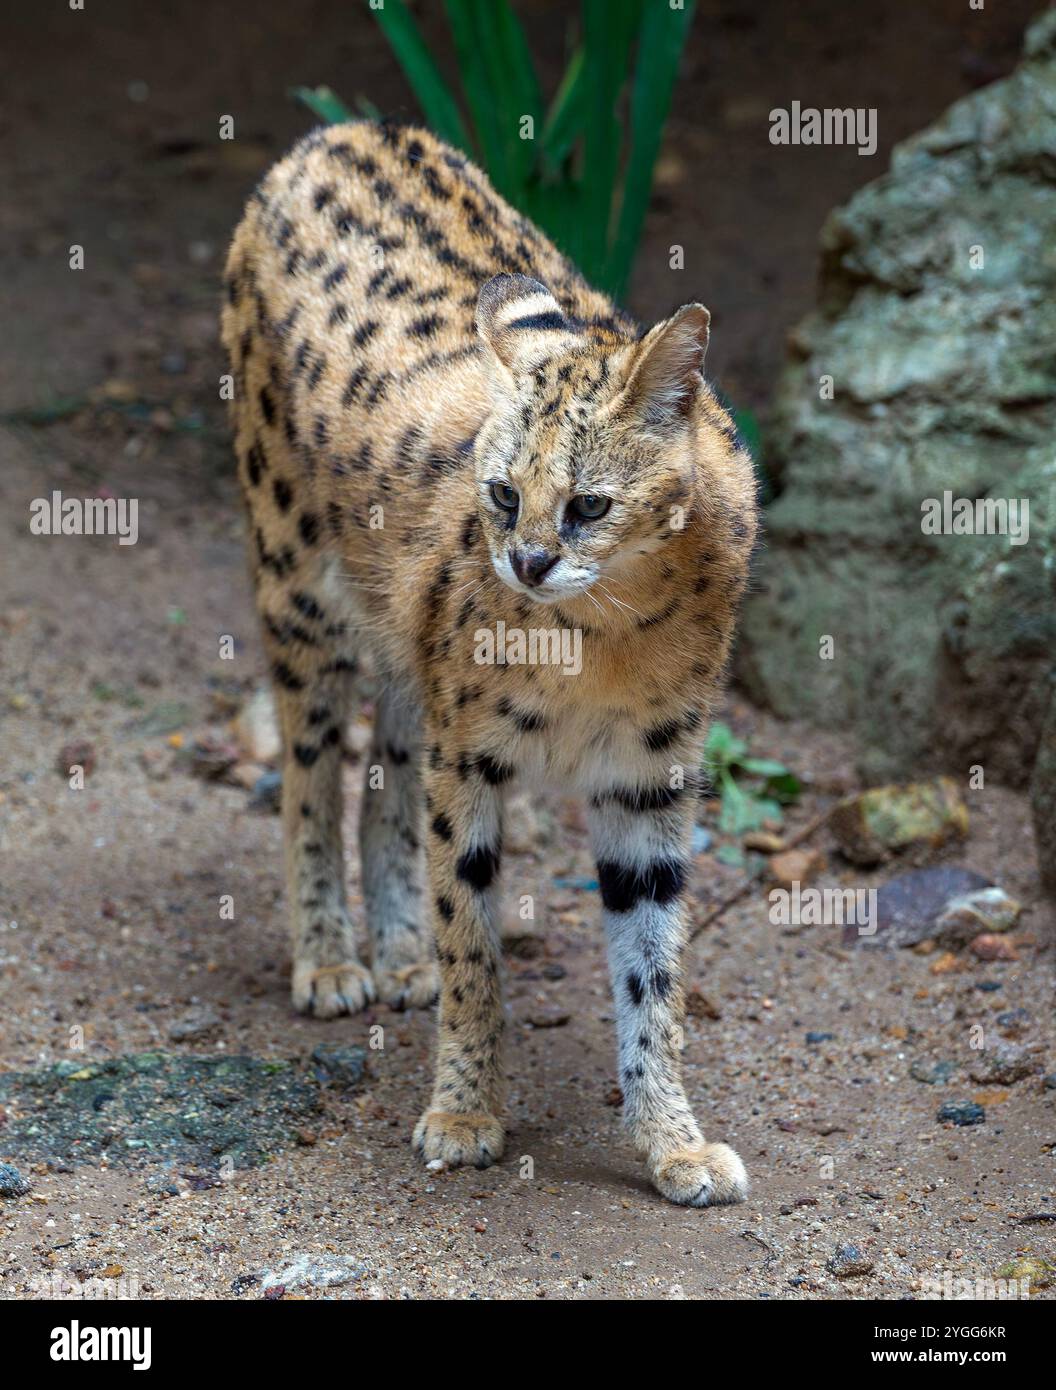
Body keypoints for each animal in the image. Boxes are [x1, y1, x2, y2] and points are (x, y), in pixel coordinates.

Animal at [220, 122, 761, 1206]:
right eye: (505, 495)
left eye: (590, 505)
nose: (527, 562)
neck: (605, 632)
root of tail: (339, 132)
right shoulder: (468, 759)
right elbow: (472, 937)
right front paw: (466, 1109)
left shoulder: (649, 779)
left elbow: (655, 972)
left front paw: (671, 1140)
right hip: (299, 593)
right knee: (310, 776)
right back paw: (329, 958)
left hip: (402, 653)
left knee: (383, 775)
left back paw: (397, 952)